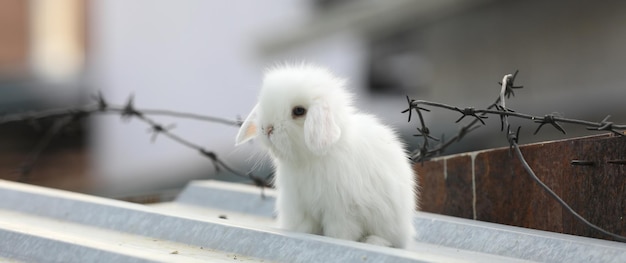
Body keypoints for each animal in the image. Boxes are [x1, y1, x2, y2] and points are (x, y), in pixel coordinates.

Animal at [236, 64, 416, 250]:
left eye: (298, 111)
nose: (267, 128)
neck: (308, 160)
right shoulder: (300, 209)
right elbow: (304, 229)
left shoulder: (341, 212)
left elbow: (340, 233)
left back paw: (373, 241)